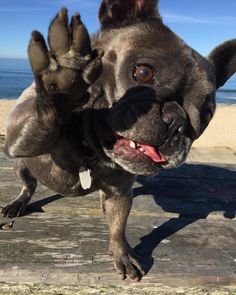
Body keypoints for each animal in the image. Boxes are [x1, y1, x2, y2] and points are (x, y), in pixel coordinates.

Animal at [1, 0, 236, 282]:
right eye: (143, 72)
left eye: (207, 114)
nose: (176, 120)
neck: (90, 151)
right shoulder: (18, 137)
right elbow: (42, 118)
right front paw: (65, 78)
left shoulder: (121, 192)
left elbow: (118, 225)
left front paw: (121, 253)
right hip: (20, 166)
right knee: (29, 184)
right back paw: (18, 202)